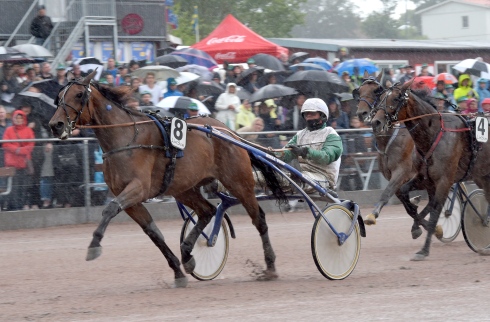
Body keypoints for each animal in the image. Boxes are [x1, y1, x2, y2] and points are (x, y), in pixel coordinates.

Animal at [48, 70, 286, 286]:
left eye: (79, 94)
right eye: (58, 96)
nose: (55, 125)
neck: (125, 139)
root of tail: (229, 132)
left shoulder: (138, 188)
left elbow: (110, 209)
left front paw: (94, 245)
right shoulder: (130, 200)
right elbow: (153, 233)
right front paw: (178, 271)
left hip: (238, 182)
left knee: (258, 219)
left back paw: (270, 266)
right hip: (184, 188)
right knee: (207, 211)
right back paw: (187, 254)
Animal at [372, 82, 490, 260]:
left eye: (396, 98)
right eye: (381, 97)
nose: (376, 122)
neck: (434, 134)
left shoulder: (444, 181)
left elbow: (435, 212)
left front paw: (424, 249)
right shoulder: (425, 179)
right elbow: (408, 196)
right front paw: (418, 226)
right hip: (482, 176)